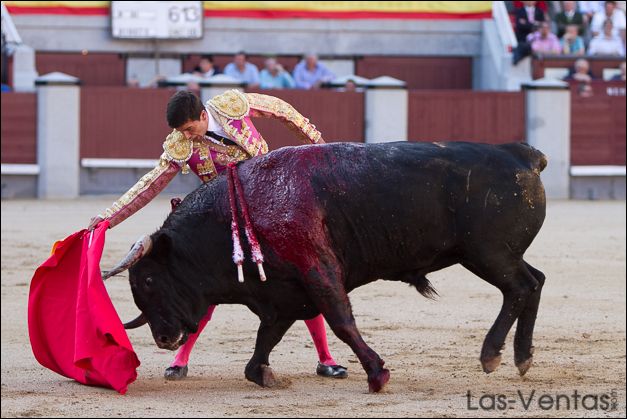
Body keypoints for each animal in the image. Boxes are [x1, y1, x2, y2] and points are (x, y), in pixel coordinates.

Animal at [110, 143, 548, 396]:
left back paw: (491, 354)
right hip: (496, 254)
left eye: (148, 279)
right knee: (535, 281)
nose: (163, 338)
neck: (236, 212)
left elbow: (340, 321)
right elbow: (266, 336)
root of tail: (522, 154)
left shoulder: (317, 269)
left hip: (486, 253)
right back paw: (521, 357)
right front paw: (263, 374)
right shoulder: (283, 293)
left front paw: (377, 374)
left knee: (521, 287)